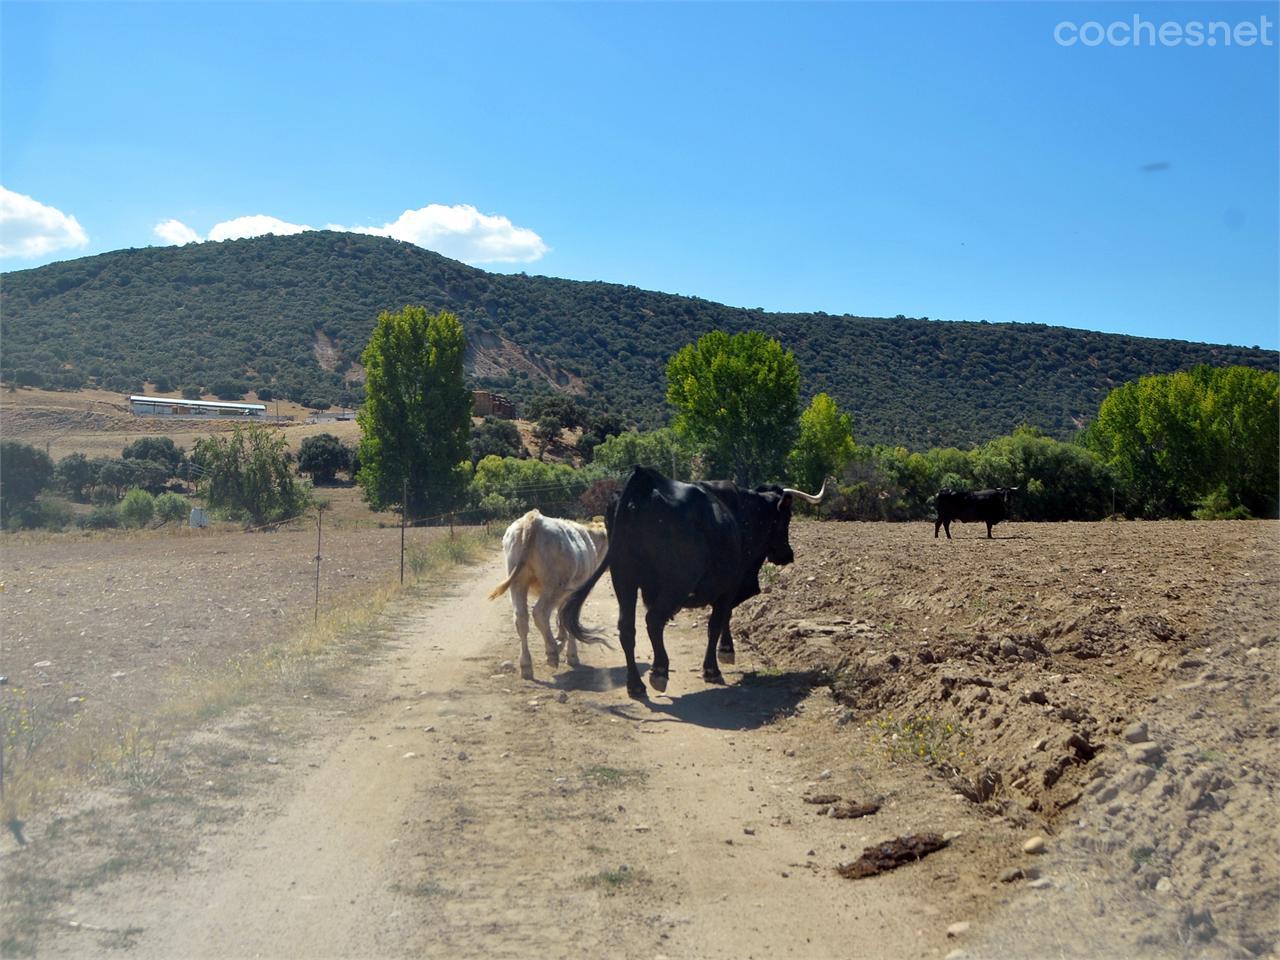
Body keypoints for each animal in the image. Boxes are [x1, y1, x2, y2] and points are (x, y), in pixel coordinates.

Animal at [488, 512, 609, 686]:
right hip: (553, 585)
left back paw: (526, 665)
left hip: (518, 583)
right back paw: (552, 651)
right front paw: (571, 654)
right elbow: (568, 619)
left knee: (521, 619)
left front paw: (561, 637)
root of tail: (533, 518)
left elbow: (561, 616)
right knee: (540, 613)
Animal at [563, 465, 829, 701]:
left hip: (624, 578)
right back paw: (659, 672)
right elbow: (717, 622)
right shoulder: (729, 586)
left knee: (627, 628)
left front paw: (725, 651)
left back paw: (635, 685)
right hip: (676, 581)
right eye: (786, 517)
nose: (787, 554)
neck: (743, 513)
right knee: (653, 620)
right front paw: (715, 665)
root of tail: (645, 479)